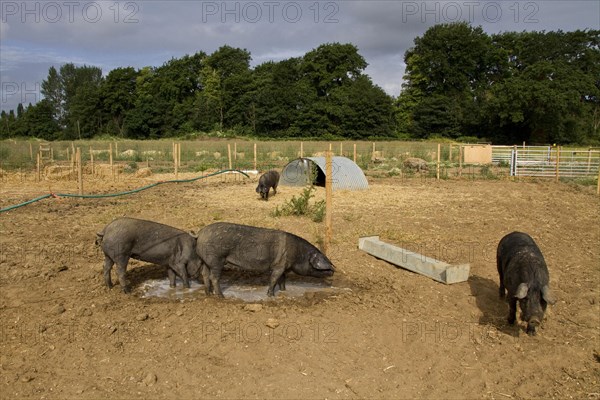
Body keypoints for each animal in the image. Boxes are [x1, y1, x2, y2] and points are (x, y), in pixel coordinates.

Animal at [195, 222, 336, 296]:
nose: (333, 270)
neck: (297, 253)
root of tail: (200, 234)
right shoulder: (278, 266)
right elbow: (274, 279)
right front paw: (270, 295)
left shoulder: (283, 266)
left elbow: (282, 279)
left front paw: (284, 291)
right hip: (216, 260)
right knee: (213, 277)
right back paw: (221, 296)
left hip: (205, 261)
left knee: (205, 274)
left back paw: (208, 293)